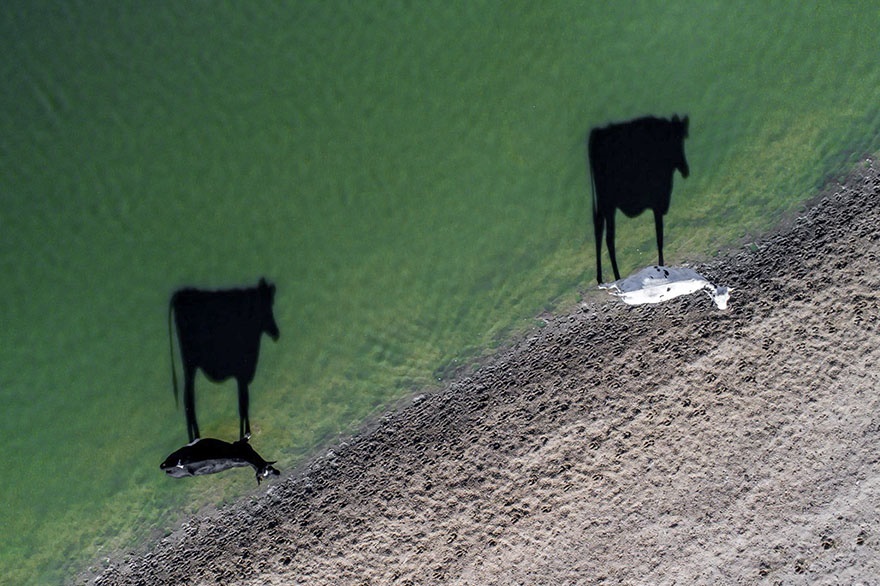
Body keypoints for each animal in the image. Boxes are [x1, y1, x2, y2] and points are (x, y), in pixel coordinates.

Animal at [170, 278, 280, 438]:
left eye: (270, 304)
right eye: (263, 306)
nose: (276, 332)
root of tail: (181, 293)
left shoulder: (243, 374)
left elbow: (244, 402)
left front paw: (246, 432)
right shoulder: (243, 372)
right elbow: (243, 403)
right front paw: (245, 434)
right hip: (190, 363)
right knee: (189, 400)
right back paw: (195, 437)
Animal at [588, 114, 692, 282]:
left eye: (682, 138)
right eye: (675, 139)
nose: (685, 169)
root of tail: (597, 133)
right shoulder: (658, 202)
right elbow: (659, 236)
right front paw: (661, 265)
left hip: (603, 204)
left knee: (598, 230)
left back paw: (600, 278)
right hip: (608, 203)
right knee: (609, 237)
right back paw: (617, 276)